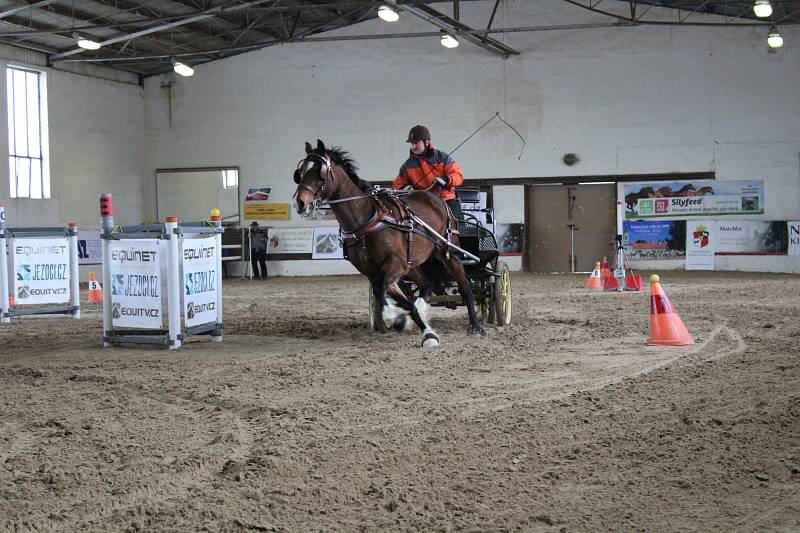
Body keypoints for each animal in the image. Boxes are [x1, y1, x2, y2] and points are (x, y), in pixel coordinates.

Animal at [292, 139, 484, 344]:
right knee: (426, 284)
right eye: (300, 173)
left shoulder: (394, 264)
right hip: (413, 262)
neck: (367, 219)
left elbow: (383, 290)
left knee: (464, 286)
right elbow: (389, 294)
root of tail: (435, 198)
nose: (300, 203)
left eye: (319, 172)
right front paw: (418, 328)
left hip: (448, 252)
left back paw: (476, 326)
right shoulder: (374, 270)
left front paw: (394, 317)